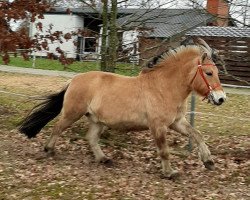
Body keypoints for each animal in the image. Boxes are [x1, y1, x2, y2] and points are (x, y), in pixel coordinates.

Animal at [19, 39, 227, 178]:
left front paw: (209, 161)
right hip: (73, 113)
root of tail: (74, 80)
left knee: (91, 138)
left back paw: (104, 159)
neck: (163, 87)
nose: (221, 98)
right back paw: (49, 150)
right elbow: (164, 150)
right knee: (58, 128)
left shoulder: (177, 122)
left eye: (216, 72)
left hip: (97, 120)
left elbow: (197, 135)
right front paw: (169, 172)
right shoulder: (158, 126)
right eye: (209, 73)